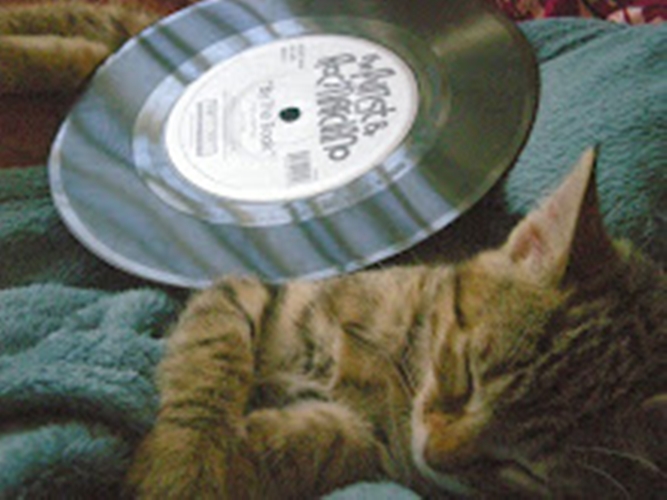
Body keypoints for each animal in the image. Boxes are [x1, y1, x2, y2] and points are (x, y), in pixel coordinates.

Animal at [126, 148, 666, 499]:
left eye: (522, 468)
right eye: (465, 375)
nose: (437, 452)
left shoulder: (393, 459)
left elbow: (339, 442)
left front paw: (259, 445)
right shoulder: (251, 292)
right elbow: (209, 364)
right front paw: (184, 464)